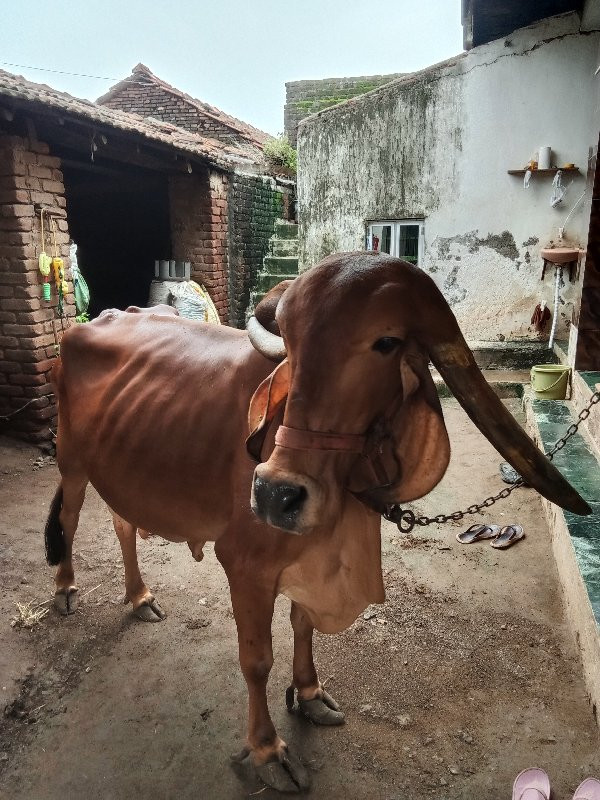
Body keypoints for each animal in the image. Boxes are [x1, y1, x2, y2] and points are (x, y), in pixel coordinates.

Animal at [44, 253, 588, 792]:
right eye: (291, 340)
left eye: (386, 342)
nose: (274, 495)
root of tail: (101, 318)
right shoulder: (245, 565)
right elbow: (256, 660)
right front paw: (267, 750)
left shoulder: (308, 558)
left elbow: (303, 625)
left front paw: (308, 694)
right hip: (71, 461)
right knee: (69, 519)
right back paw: (66, 589)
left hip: (119, 471)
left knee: (122, 526)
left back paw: (140, 597)